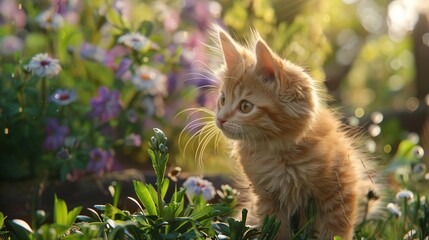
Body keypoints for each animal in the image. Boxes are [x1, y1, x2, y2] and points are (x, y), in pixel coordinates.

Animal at [209, 26, 380, 240]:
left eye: (245, 106)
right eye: (223, 99)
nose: (220, 119)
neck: (280, 154)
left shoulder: (340, 193)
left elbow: (335, 232)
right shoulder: (268, 200)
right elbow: (277, 231)